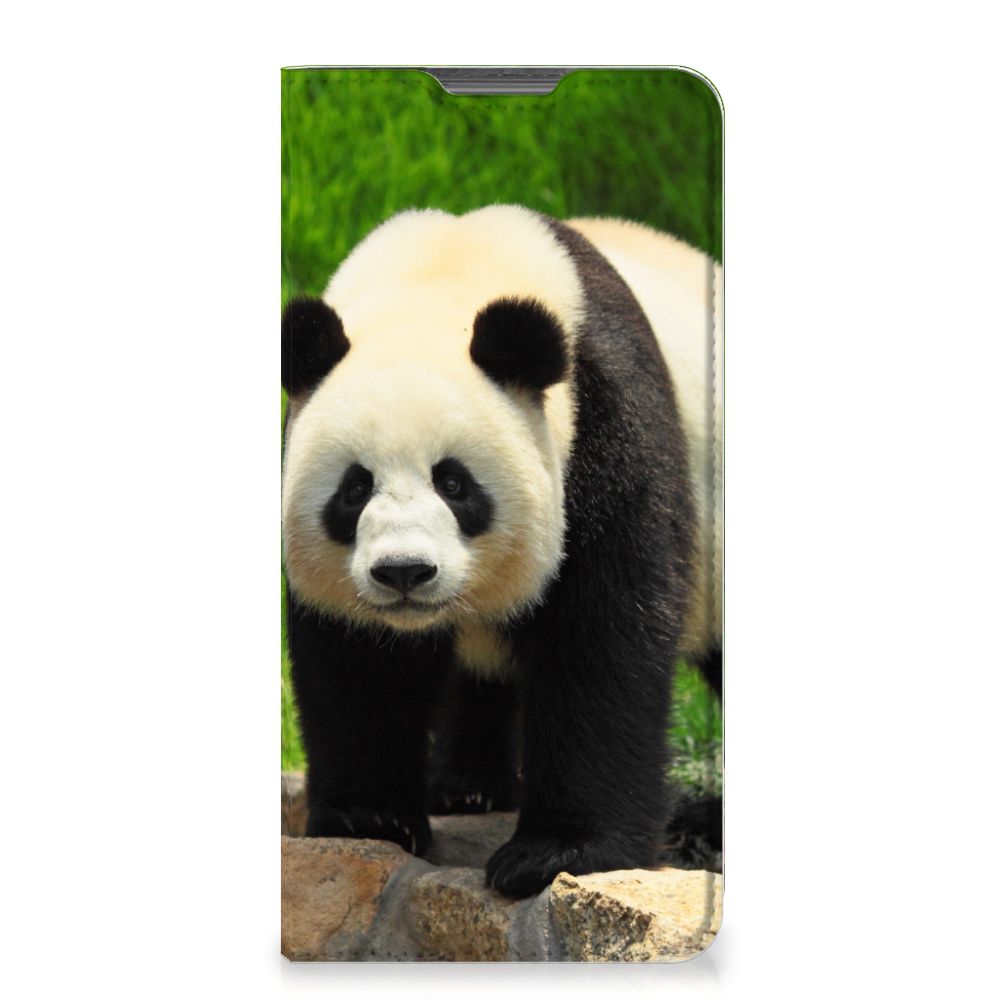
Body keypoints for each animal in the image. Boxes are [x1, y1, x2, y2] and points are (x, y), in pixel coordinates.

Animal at [281, 205, 722, 898]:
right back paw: (467, 787)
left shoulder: (606, 426)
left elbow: (602, 635)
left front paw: (556, 853)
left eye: (454, 483)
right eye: (354, 488)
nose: (404, 572)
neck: (441, 277)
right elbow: (358, 661)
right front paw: (368, 818)